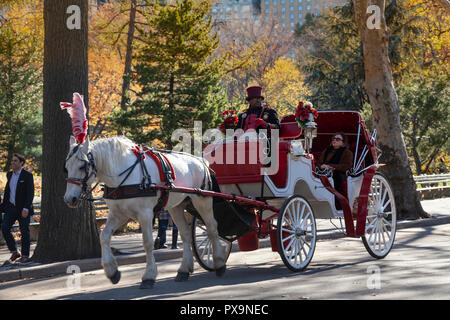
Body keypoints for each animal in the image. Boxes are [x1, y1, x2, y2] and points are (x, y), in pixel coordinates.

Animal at [63, 135, 225, 288]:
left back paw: (219, 263)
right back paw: (184, 269)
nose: (69, 199)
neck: (123, 174)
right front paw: (112, 271)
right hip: (176, 206)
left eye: (82, 166)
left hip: (202, 201)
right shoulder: (118, 214)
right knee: (185, 233)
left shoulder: (145, 214)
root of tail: (201, 161)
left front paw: (149, 276)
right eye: (66, 167)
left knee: (212, 228)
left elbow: (147, 243)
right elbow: (104, 236)